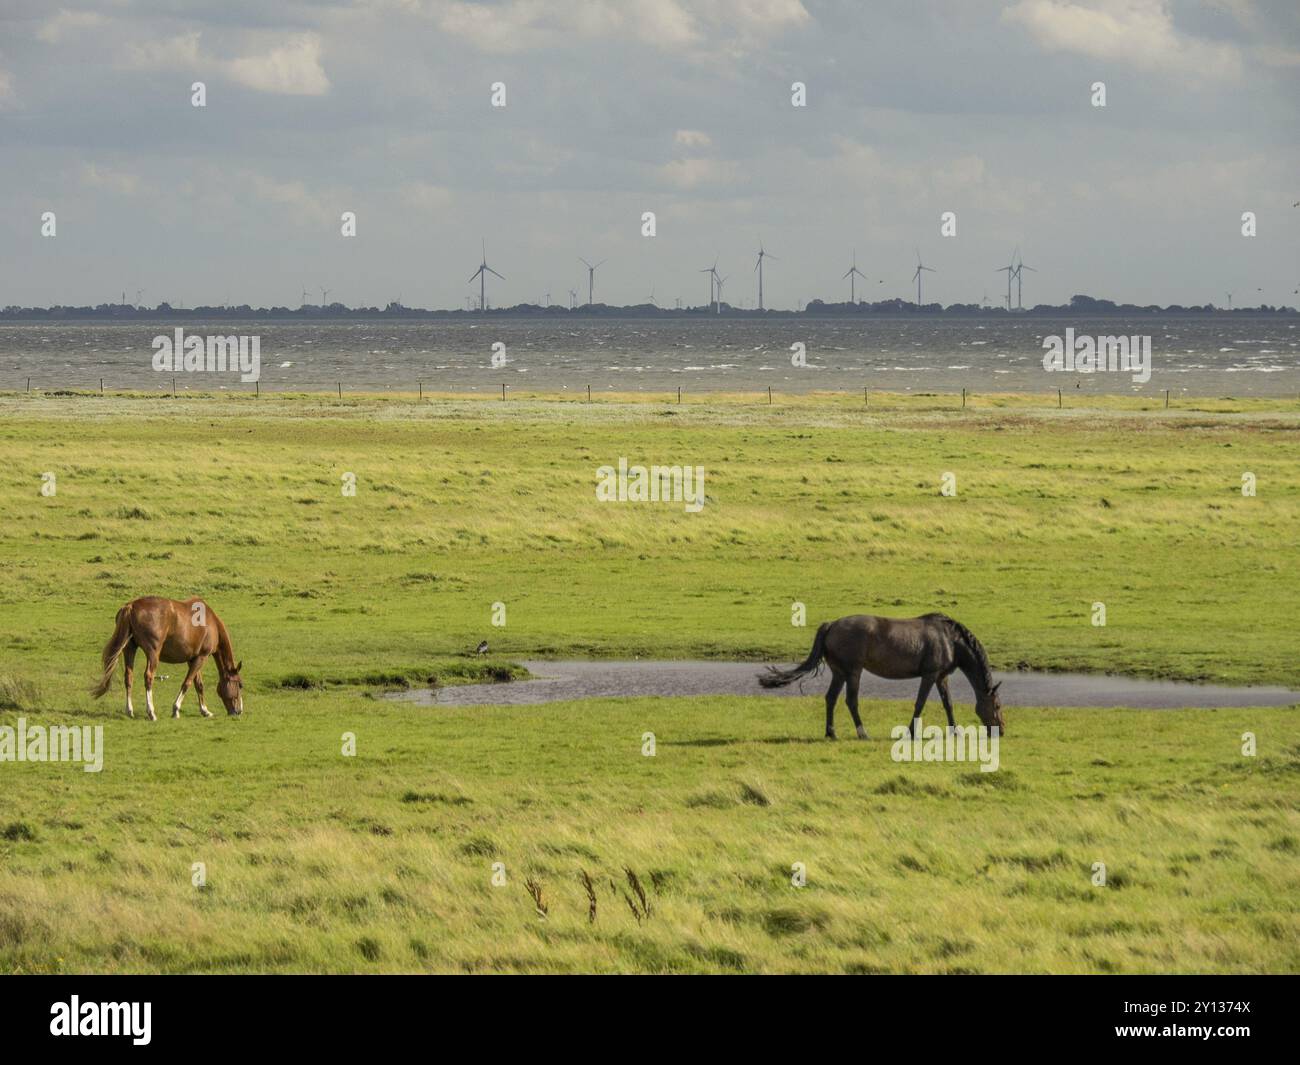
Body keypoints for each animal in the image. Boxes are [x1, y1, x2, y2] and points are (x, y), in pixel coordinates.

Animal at [92, 595, 244, 723]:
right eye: (240, 685)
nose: (238, 711)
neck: (210, 623)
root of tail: (131, 606)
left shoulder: (193, 659)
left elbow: (198, 685)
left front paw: (205, 710)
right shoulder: (202, 657)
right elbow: (187, 683)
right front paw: (176, 709)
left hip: (130, 649)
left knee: (128, 677)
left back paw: (129, 710)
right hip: (153, 654)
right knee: (148, 677)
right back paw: (151, 713)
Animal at [759, 616, 998, 743]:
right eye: (997, 706)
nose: (1000, 730)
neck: (950, 640)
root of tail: (831, 625)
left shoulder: (941, 677)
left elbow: (948, 704)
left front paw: (955, 731)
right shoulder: (930, 675)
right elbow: (920, 703)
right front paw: (911, 732)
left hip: (839, 672)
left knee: (831, 698)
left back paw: (831, 733)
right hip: (853, 671)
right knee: (851, 701)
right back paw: (862, 733)